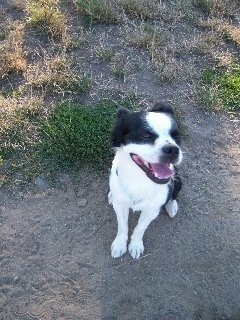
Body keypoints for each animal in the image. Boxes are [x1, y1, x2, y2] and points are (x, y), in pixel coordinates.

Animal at [108, 102, 183, 260]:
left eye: (177, 136)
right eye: (146, 136)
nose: (173, 149)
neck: (139, 180)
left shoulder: (152, 210)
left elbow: (140, 228)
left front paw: (135, 245)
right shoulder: (121, 206)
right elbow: (122, 226)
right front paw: (120, 244)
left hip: (178, 179)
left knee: (174, 194)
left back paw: (171, 206)